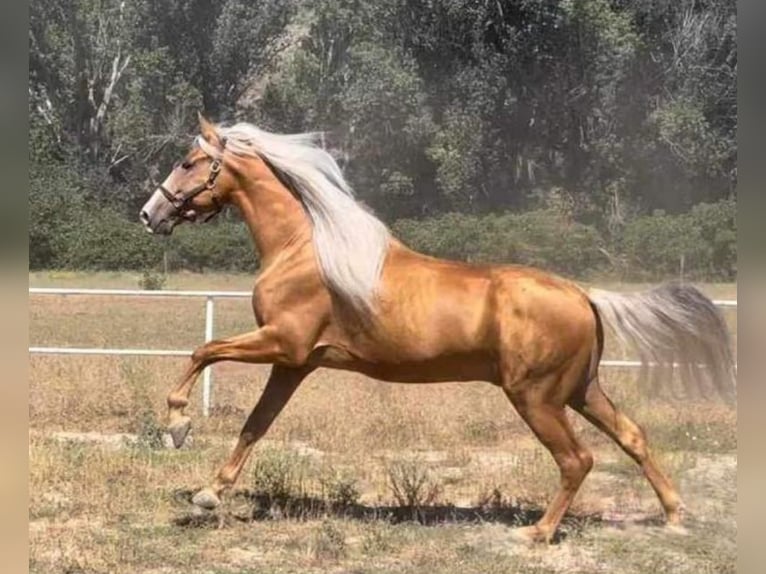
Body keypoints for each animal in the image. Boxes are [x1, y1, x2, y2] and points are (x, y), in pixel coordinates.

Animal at [140, 113, 736, 544]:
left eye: (190, 162)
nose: (150, 214)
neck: (305, 248)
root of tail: (583, 294)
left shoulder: (282, 344)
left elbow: (203, 351)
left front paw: (178, 425)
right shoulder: (295, 363)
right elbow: (255, 426)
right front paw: (209, 493)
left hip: (537, 397)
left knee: (578, 459)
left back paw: (538, 533)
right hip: (582, 390)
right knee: (632, 436)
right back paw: (674, 515)